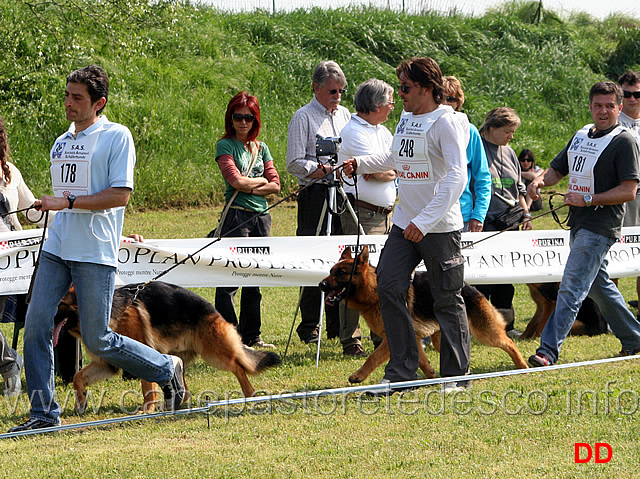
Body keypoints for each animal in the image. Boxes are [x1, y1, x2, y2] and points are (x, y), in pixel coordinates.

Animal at [53, 282, 284, 412]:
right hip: (178, 354)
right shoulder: (106, 363)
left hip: (215, 353)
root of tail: (212, 309)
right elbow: (78, 377)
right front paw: (80, 402)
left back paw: (249, 393)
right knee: (183, 384)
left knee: (238, 365)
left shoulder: (138, 353)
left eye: (59, 305)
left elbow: (147, 386)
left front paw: (147, 409)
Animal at [318, 246, 528, 384]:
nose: (321, 285)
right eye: (330, 271)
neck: (373, 291)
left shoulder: (392, 337)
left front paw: (358, 375)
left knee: (509, 343)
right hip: (441, 338)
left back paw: (523, 366)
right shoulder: (413, 337)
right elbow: (422, 360)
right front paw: (431, 378)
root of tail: (470, 287)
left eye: (341, 273)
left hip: (485, 333)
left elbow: (373, 357)